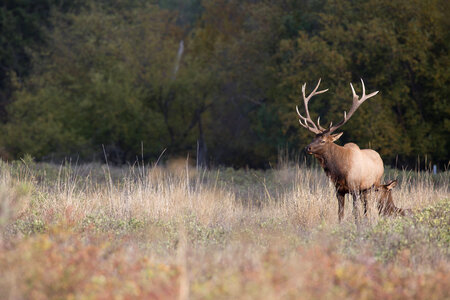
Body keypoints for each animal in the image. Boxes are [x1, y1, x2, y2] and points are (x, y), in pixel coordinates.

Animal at [298, 78, 402, 221]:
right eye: (314, 137)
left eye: (323, 141)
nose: (307, 147)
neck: (339, 171)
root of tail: (378, 156)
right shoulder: (339, 190)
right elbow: (340, 214)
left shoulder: (354, 189)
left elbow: (355, 213)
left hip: (373, 185)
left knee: (366, 207)